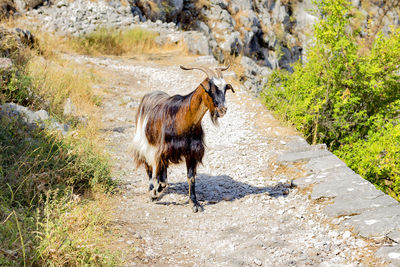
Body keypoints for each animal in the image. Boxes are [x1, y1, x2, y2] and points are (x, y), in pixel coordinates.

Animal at [133, 65, 236, 214]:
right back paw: (151, 188)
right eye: (210, 90)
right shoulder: (162, 150)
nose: (223, 110)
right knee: (148, 166)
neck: (183, 119)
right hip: (144, 143)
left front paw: (194, 203)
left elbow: (190, 178)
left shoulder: (191, 152)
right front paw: (154, 194)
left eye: (225, 89)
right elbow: (163, 181)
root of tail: (150, 95)